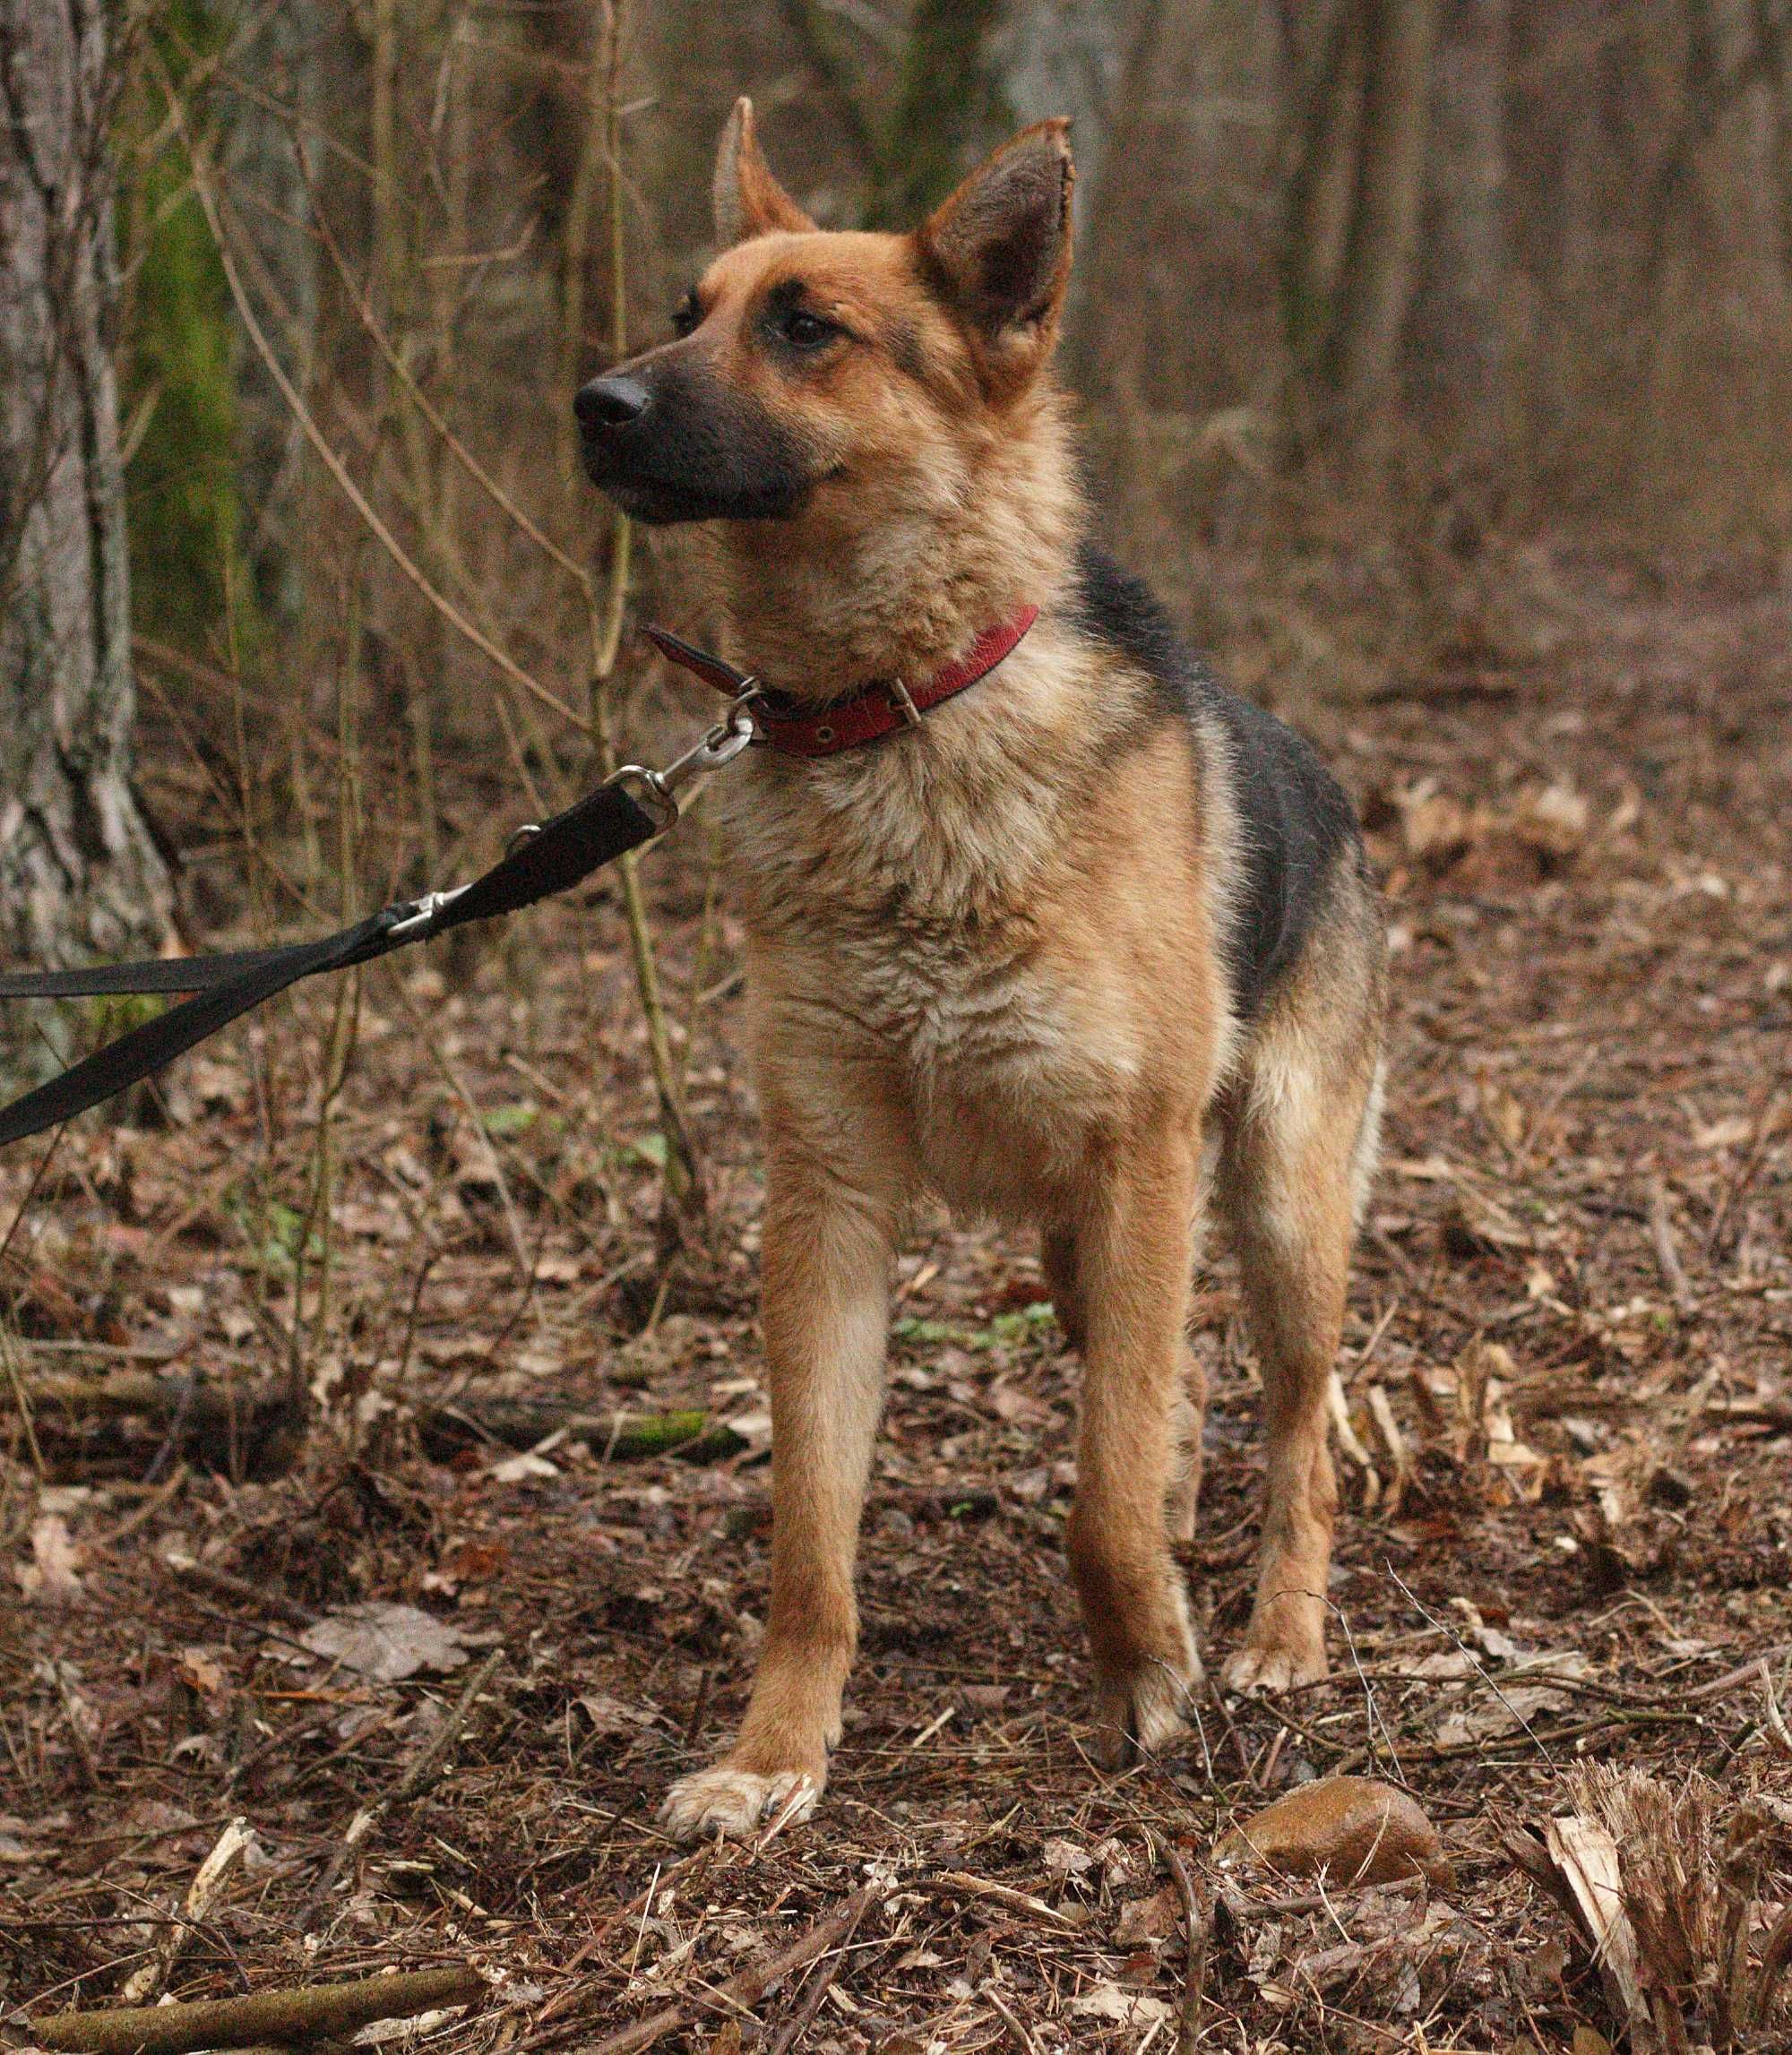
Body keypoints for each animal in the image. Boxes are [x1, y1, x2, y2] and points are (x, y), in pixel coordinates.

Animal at [575, 99, 1389, 1849]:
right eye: (686, 308)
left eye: (804, 327)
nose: (593, 404)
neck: (894, 713)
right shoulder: (827, 1198)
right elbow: (813, 1534)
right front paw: (777, 1751)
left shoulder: (1140, 1159)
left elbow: (1103, 1490)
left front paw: (1150, 1669)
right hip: (1095, 1250)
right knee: (1170, 1401)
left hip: (1273, 1212)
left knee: (1299, 1427)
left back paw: (1279, 1631)